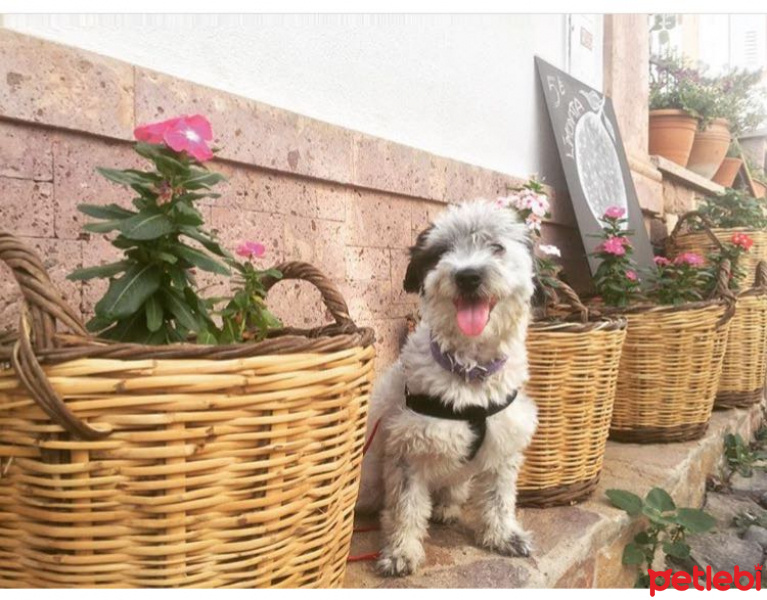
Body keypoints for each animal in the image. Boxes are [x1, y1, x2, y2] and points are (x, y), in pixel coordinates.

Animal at [356, 199, 540, 576]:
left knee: (453, 491)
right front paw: (401, 551)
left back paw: (447, 508)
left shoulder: (504, 443)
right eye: (441, 252)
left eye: (497, 247)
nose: (468, 276)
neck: (471, 374)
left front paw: (503, 535)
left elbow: (499, 499)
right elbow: (405, 508)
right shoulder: (407, 448)